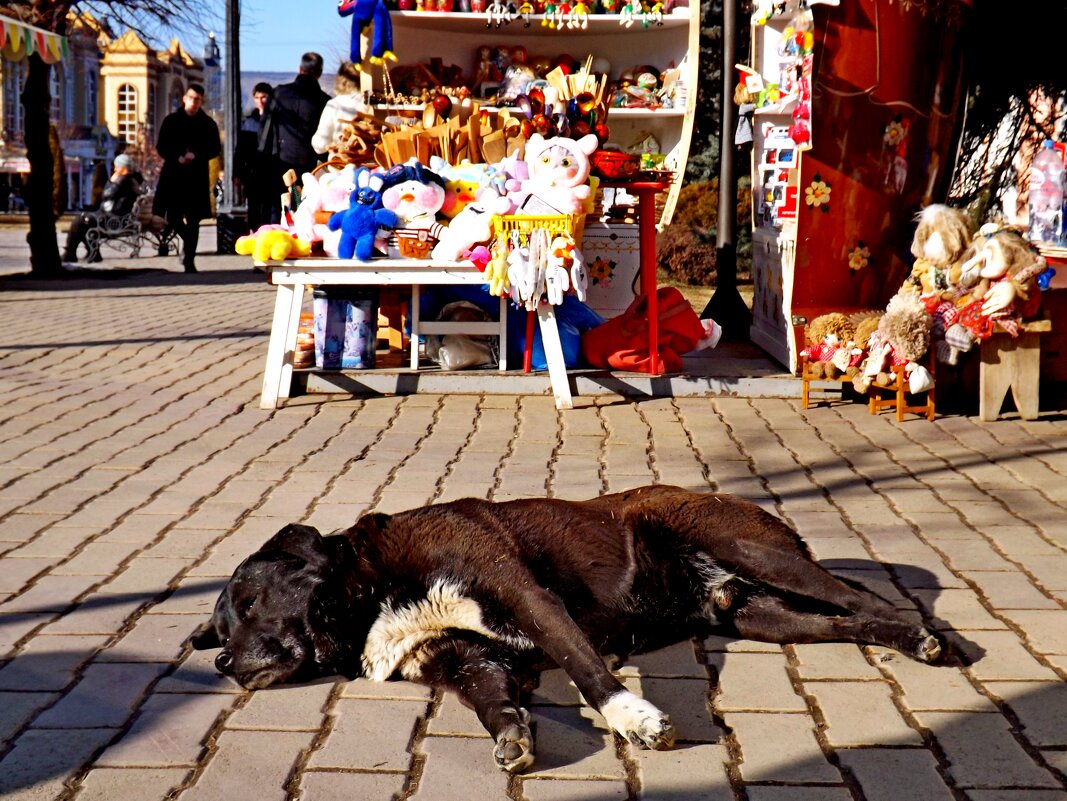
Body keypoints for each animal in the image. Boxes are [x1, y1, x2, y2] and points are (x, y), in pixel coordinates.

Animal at [192, 486, 943, 772]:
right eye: (218, 629)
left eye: (247, 600)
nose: (221, 663)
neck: (367, 591)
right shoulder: (466, 660)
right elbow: (493, 703)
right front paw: (514, 737)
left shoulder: (522, 592)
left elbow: (586, 670)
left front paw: (636, 717)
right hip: (760, 613)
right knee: (846, 619)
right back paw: (902, 641)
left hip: (753, 551)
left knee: (862, 595)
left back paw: (927, 637)